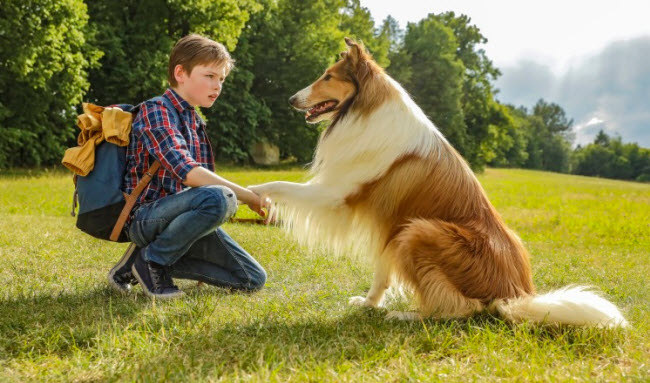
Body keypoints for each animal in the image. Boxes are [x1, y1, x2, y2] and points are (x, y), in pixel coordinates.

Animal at [247, 38, 624, 328]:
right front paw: (368, 304)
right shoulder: (389, 226)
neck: (365, 110)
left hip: (418, 231)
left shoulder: (336, 195)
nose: (290, 100)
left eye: (327, 76)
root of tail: (514, 294)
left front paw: (252, 193)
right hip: (415, 232)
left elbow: (279, 184)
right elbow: (381, 274)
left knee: (462, 309)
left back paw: (407, 316)